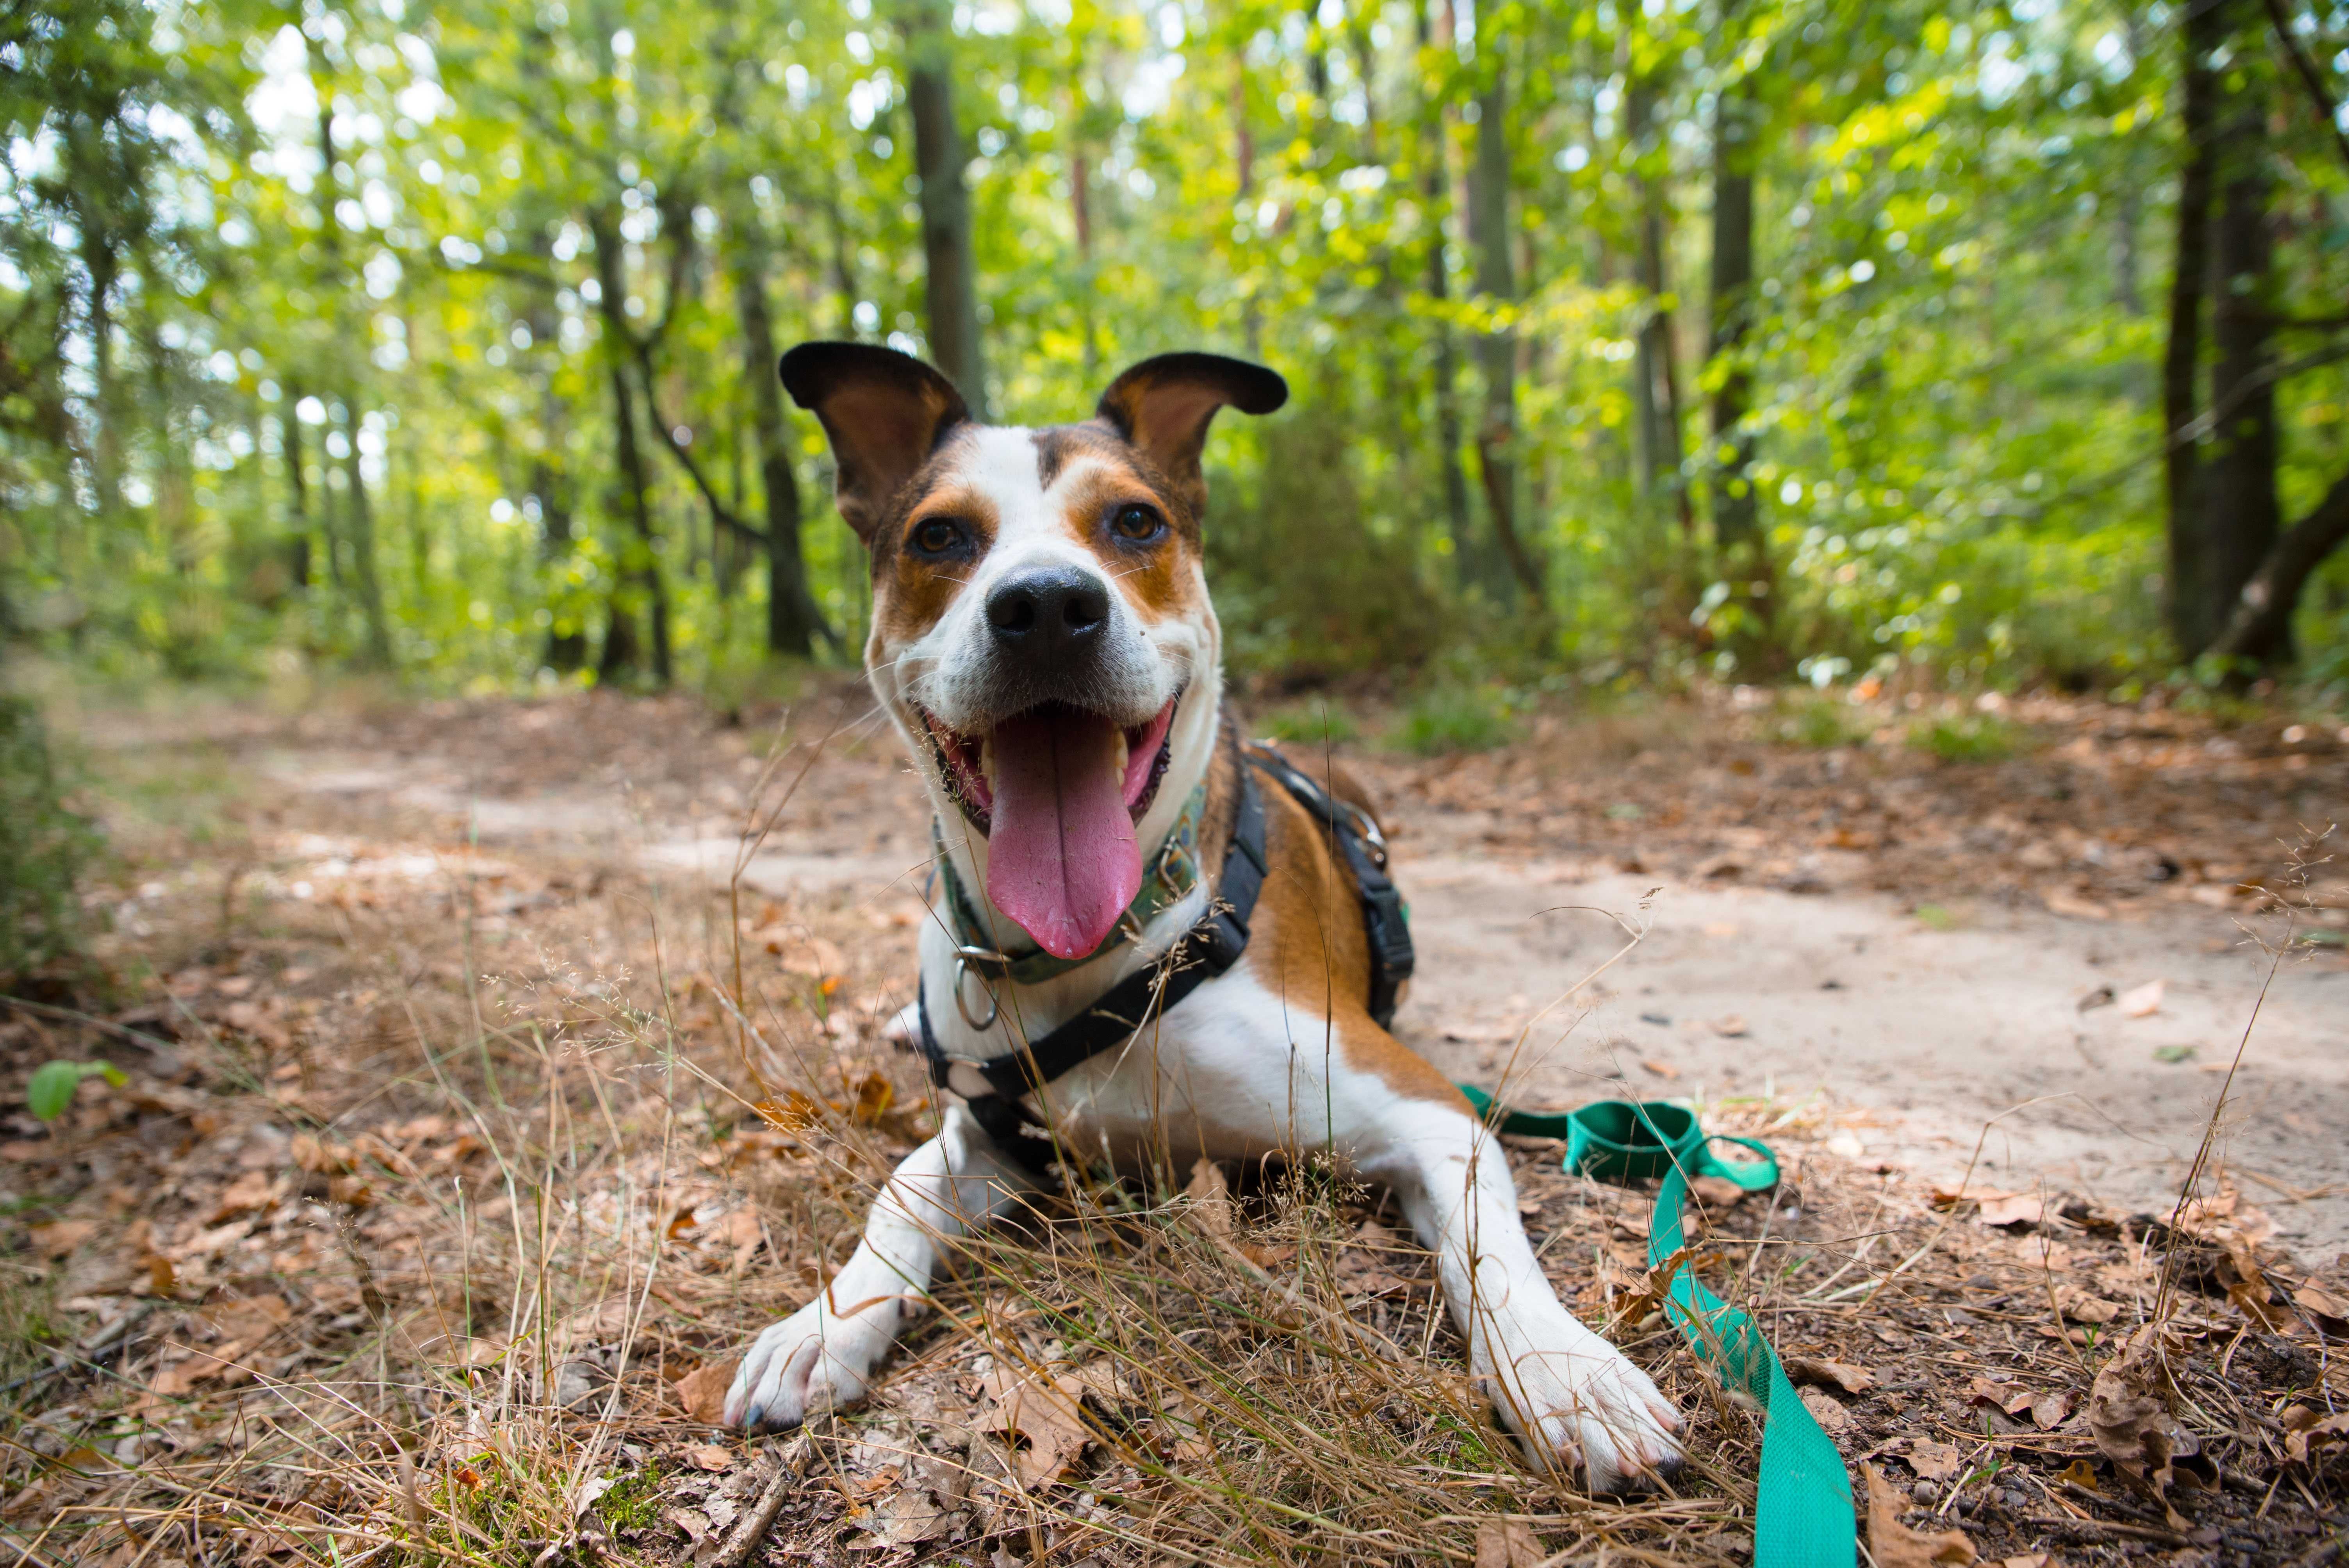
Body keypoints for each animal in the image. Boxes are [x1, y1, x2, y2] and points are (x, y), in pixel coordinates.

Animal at [718, 342, 1691, 1493]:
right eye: (939, 537)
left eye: (1136, 522)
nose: (1045, 606)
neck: (1105, 950)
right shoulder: (990, 1130)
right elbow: (900, 1191)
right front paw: (826, 1320)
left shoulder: (1422, 1111)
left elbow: (1488, 1242)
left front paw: (1565, 1368)